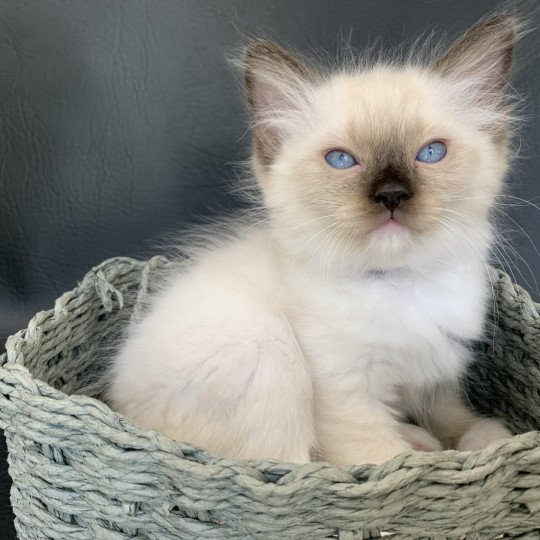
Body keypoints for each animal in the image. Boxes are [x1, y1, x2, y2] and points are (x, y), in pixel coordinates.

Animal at [106, 14, 520, 466]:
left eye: (431, 153)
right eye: (341, 160)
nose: (391, 194)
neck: (400, 283)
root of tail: (121, 407)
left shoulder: (436, 373)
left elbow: (452, 418)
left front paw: (487, 441)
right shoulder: (348, 397)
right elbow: (384, 461)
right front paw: (430, 461)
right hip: (269, 352)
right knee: (295, 460)